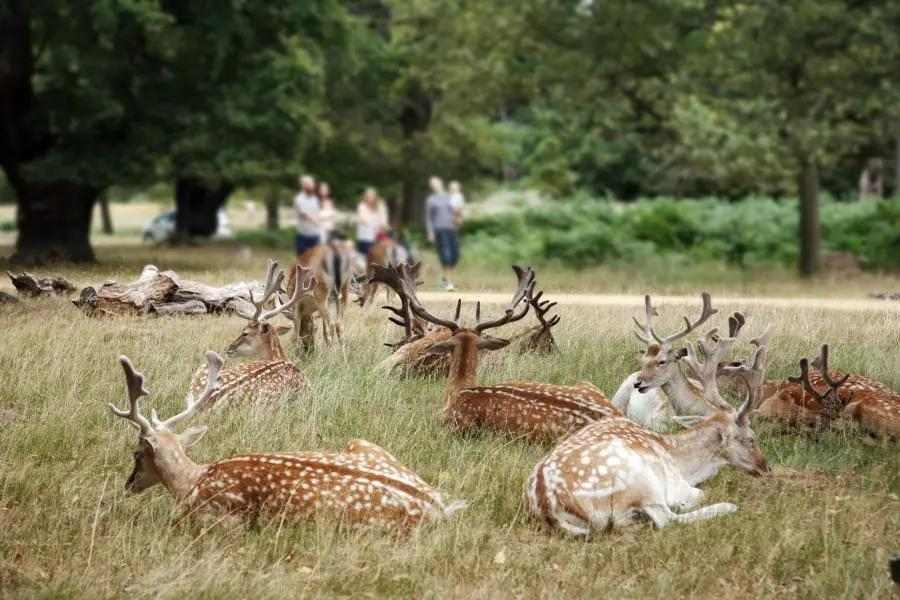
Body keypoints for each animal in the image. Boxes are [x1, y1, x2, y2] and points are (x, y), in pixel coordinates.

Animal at [111, 352, 466, 528]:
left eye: (136, 453)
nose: (128, 485)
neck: (191, 481)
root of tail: (438, 506)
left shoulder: (217, 518)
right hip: (363, 443)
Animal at [525, 326, 770, 535]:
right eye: (750, 439)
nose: (765, 468)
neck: (682, 461)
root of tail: (549, 508)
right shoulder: (676, 484)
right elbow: (697, 494)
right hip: (640, 481)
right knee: (666, 519)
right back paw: (726, 506)